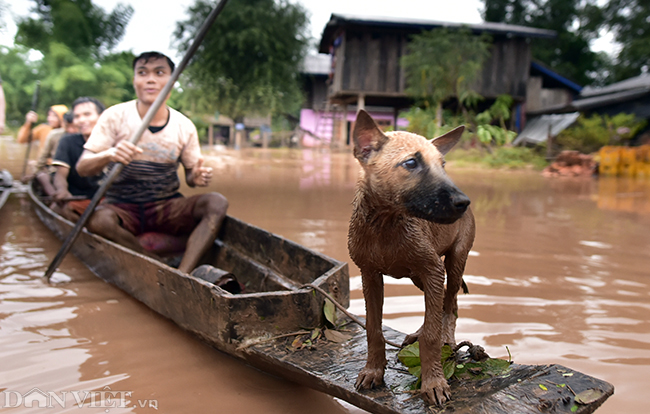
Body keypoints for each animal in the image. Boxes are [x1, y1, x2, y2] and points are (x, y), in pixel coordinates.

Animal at [346, 108, 474, 406]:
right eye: (411, 162)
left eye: (443, 164)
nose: (463, 203)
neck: (385, 224)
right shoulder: (369, 274)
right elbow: (373, 328)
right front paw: (373, 371)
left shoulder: (433, 269)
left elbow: (432, 335)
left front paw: (434, 382)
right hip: (420, 275)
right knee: (443, 304)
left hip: (453, 263)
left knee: (450, 305)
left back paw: (448, 340)